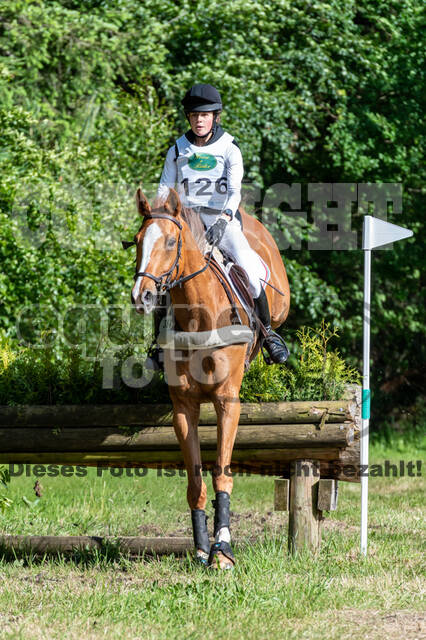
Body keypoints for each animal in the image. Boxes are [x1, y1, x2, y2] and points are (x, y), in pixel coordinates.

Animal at [127, 187, 290, 568]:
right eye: (138, 241)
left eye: (171, 242)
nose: (142, 297)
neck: (200, 313)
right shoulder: (183, 408)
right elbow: (195, 479)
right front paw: (202, 547)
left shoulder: (227, 401)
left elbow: (221, 473)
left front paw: (223, 550)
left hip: (279, 301)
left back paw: (272, 343)